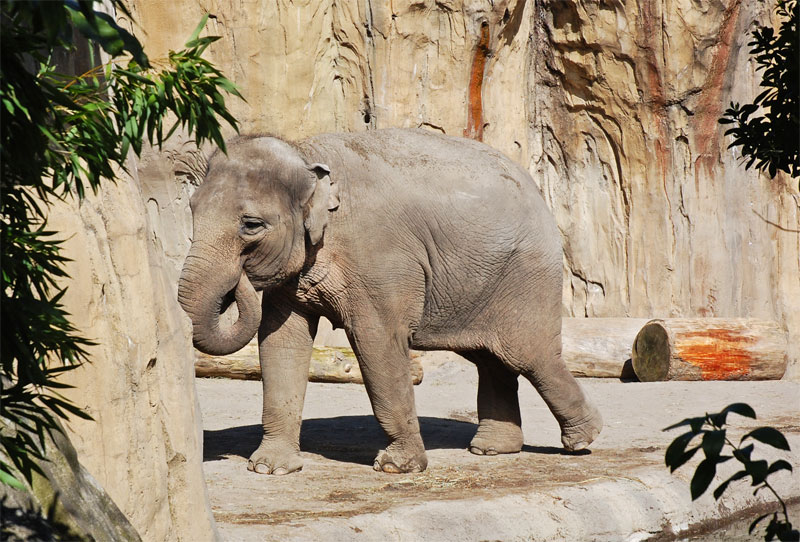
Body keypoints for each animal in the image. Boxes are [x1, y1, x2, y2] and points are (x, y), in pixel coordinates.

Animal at [177, 128, 603, 475]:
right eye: (191, 210)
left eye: (251, 225)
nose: (240, 283)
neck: (304, 152)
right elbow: (280, 341)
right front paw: (271, 468)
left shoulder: (380, 260)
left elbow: (377, 343)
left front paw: (397, 467)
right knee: (490, 358)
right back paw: (492, 450)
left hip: (526, 276)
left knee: (528, 355)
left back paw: (583, 439)